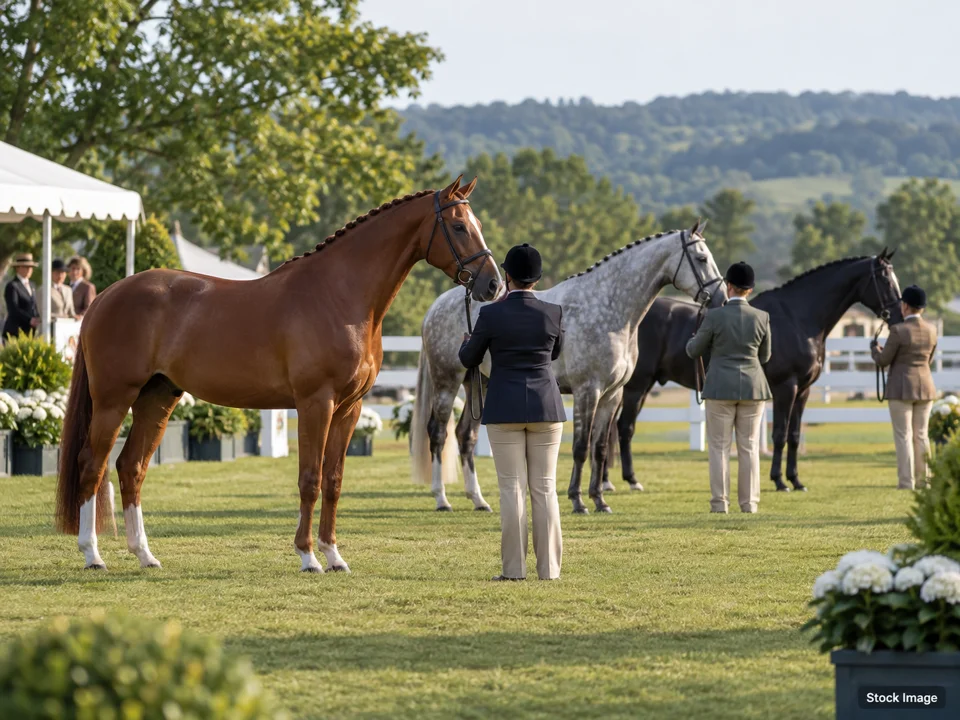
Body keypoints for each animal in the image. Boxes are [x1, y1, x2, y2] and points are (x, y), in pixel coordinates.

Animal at [54, 175, 502, 573]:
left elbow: (333, 480)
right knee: (91, 464)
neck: (338, 296)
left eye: (478, 224)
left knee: (131, 467)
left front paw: (334, 556)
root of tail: (106, 296)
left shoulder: (350, 409)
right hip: (114, 400)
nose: (493, 285)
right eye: (459, 226)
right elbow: (309, 479)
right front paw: (308, 557)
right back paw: (93, 555)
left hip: (157, 398)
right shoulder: (316, 404)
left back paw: (144, 555)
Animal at [411, 223, 723, 515]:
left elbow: (599, 449)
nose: (720, 298)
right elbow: (581, 447)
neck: (609, 309)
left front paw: (599, 500)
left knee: (466, 436)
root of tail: (436, 307)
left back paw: (478, 500)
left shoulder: (612, 395)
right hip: (447, 381)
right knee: (438, 434)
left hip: (478, 385)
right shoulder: (588, 391)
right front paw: (578, 500)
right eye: (701, 258)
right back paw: (441, 499)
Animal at [609, 252, 903, 493]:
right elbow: (780, 434)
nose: (899, 317)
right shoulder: (786, 387)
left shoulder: (804, 391)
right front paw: (780, 481)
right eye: (885, 279)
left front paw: (796, 480)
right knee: (624, 427)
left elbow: (794, 436)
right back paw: (630, 480)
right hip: (637, 386)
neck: (799, 318)